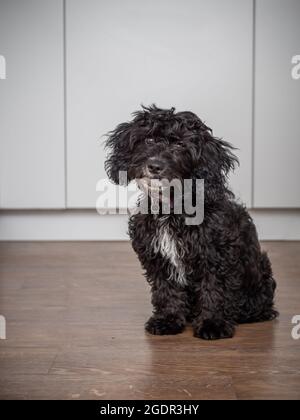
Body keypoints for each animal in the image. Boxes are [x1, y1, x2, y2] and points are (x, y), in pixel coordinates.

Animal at [104, 106, 278, 340]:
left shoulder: (216, 255)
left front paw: (213, 324)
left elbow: (214, 290)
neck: (172, 208)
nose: (155, 166)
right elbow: (166, 290)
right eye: (149, 139)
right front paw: (168, 320)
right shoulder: (158, 257)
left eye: (179, 144)